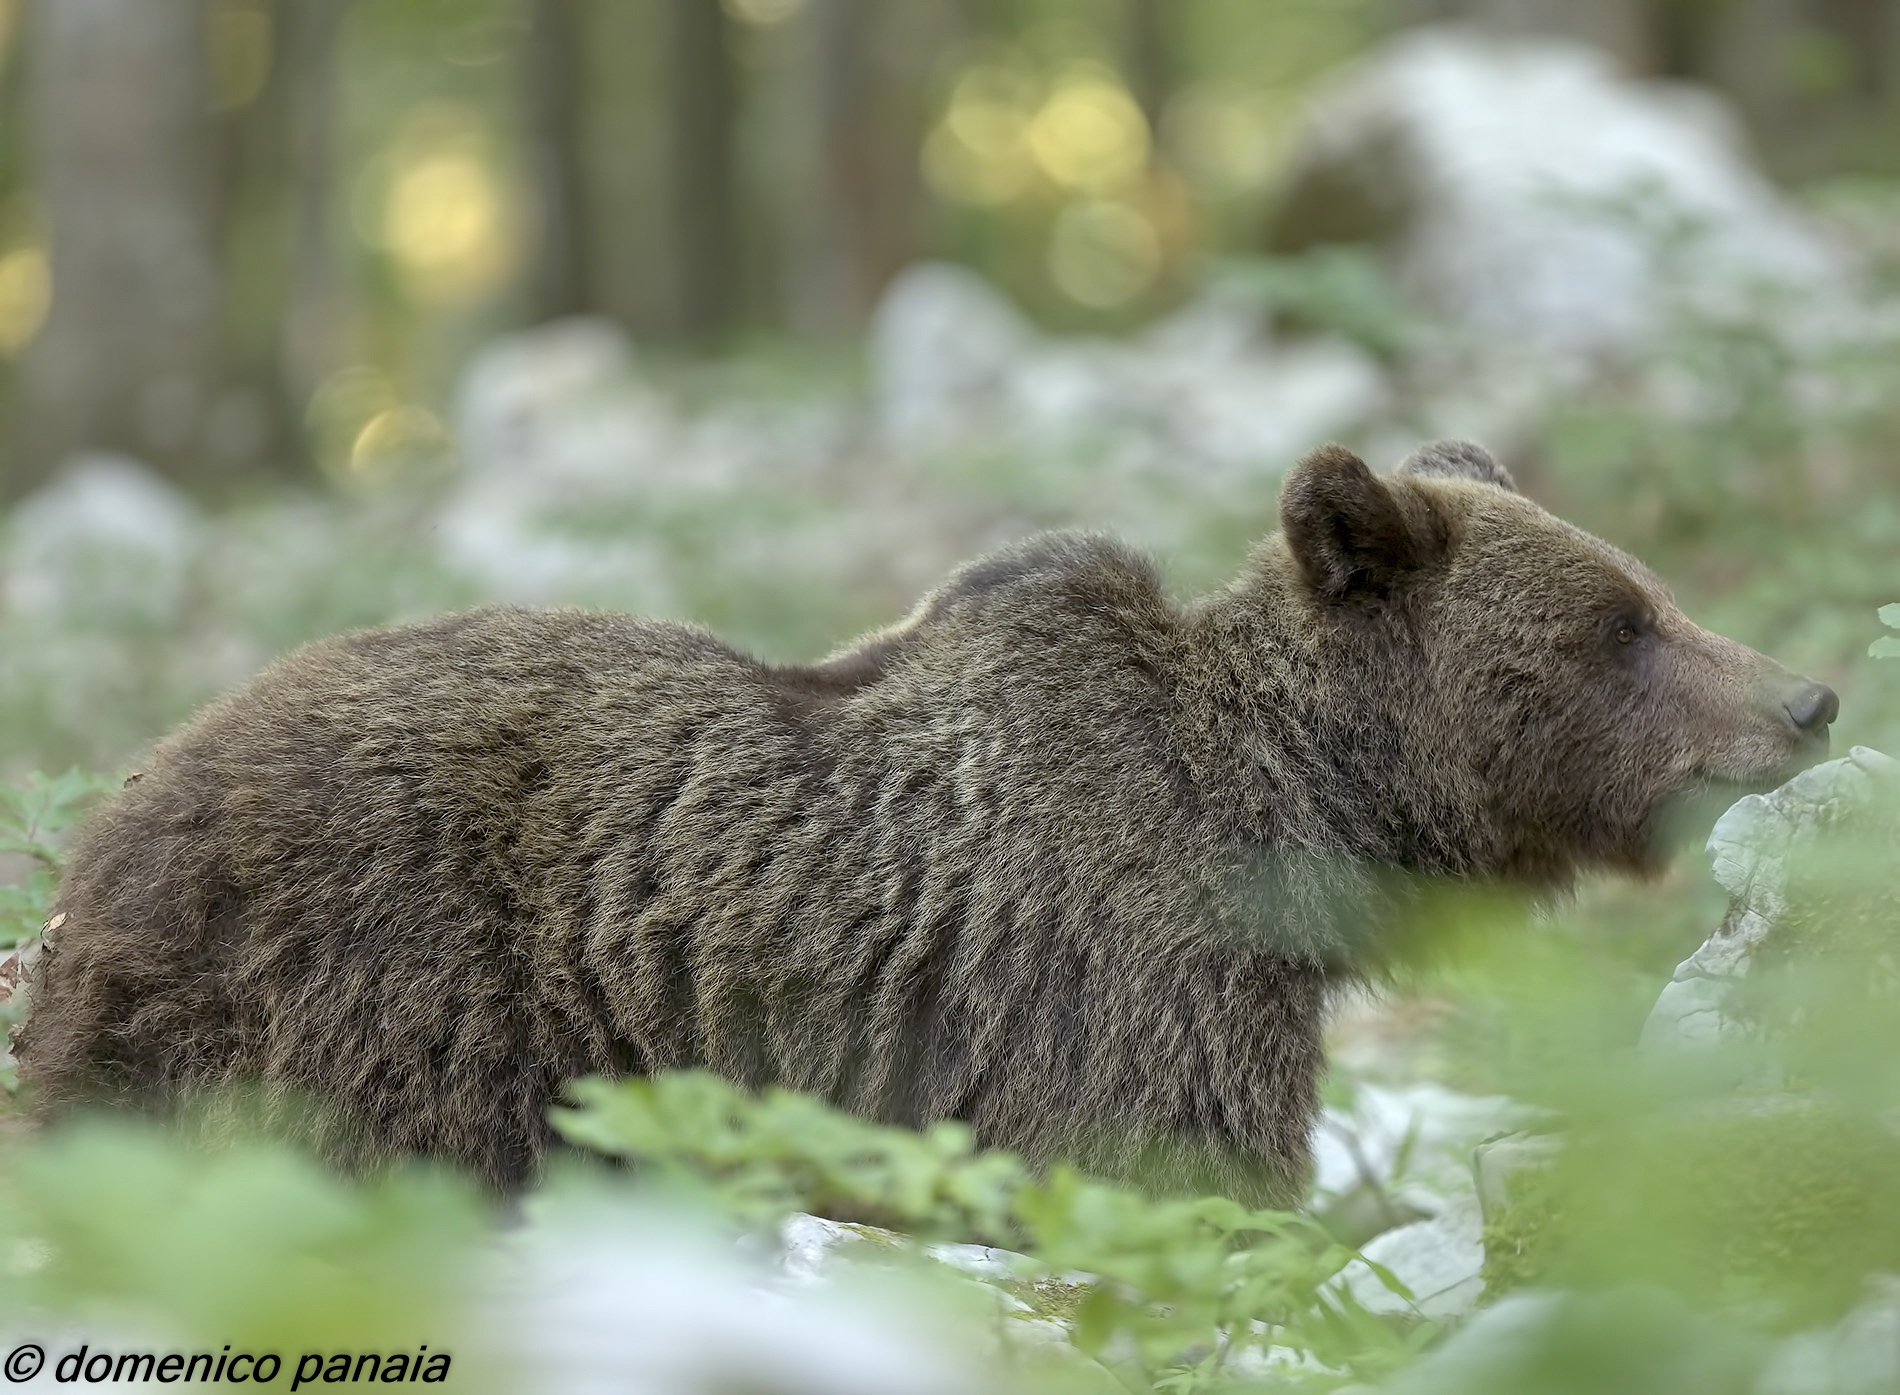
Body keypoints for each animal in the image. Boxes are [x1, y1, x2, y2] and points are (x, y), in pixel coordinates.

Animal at [15, 441, 1837, 1204]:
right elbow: (1171, 1170)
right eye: (1621, 623)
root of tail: (113, 829)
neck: (1290, 820)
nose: (1808, 695)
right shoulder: (1130, 971)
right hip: (394, 984)